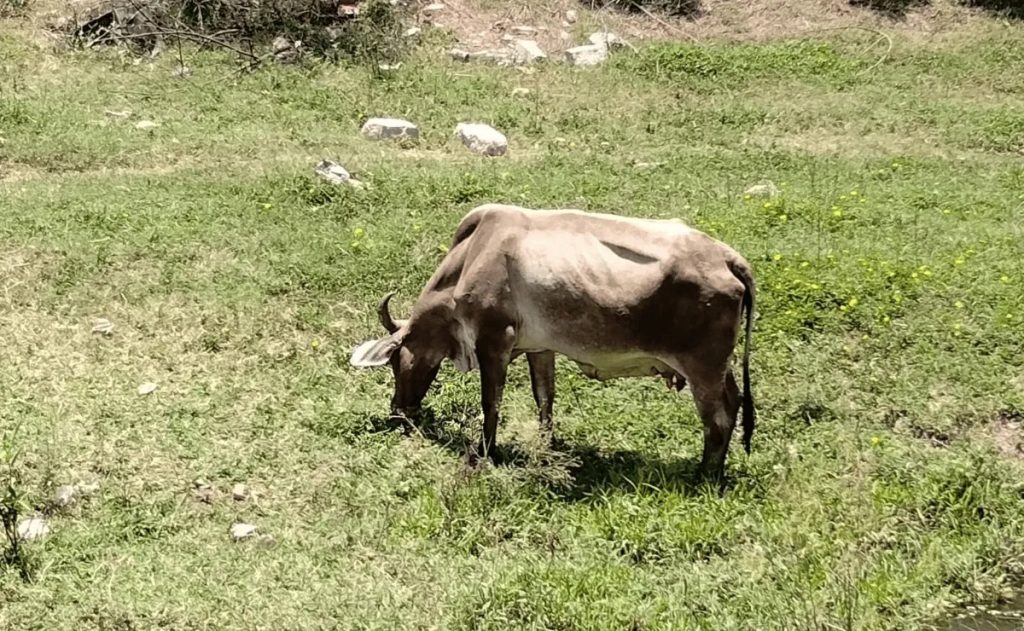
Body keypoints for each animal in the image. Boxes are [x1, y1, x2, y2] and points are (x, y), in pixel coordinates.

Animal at [348, 204, 757, 475]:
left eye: (395, 360)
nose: (399, 410)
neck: (473, 256)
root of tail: (727, 258)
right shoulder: (540, 348)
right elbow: (544, 398)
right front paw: (548, 447)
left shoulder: (494, 342)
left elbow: (491, 404)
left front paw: (484, 452)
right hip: (720, 367)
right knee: (735, 402)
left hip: (703, 368)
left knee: (718, 420)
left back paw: (704, 476)